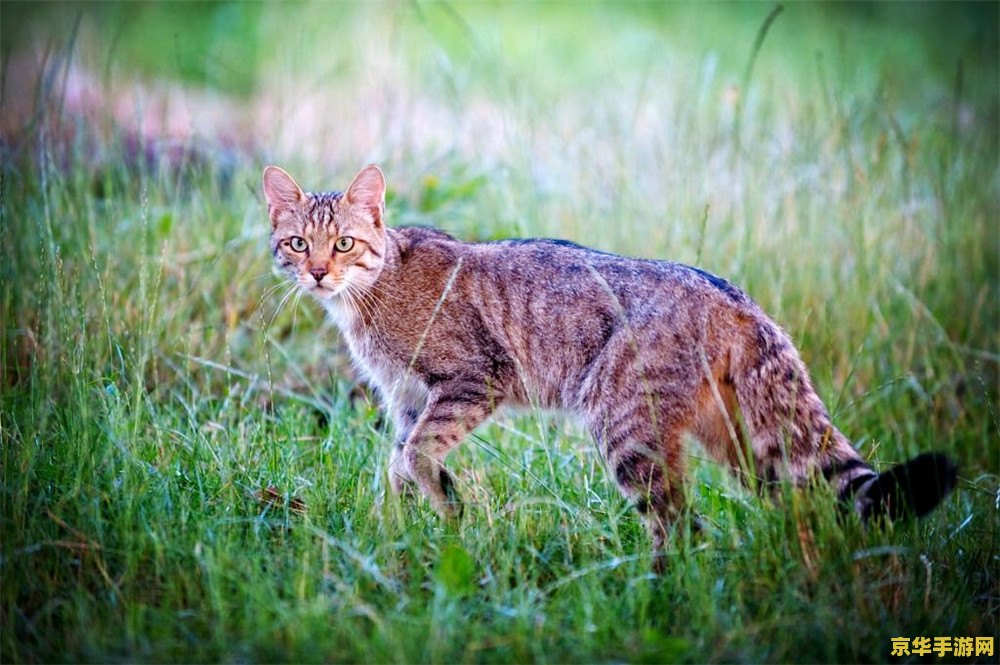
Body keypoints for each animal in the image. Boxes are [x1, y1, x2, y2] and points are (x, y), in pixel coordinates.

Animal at [262, 163, 956, 564]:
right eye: (297, 243)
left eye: (343, 243)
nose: (317, 272)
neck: (372, 292)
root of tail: (737, 297)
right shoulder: (407, 399)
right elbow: (398, 463)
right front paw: (401, 531)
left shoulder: (470, 380)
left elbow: (414, 455)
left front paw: (445, 509)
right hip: (749, 446)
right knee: (796, 508)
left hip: (625, 426)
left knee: (682, 527)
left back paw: (652, 592)